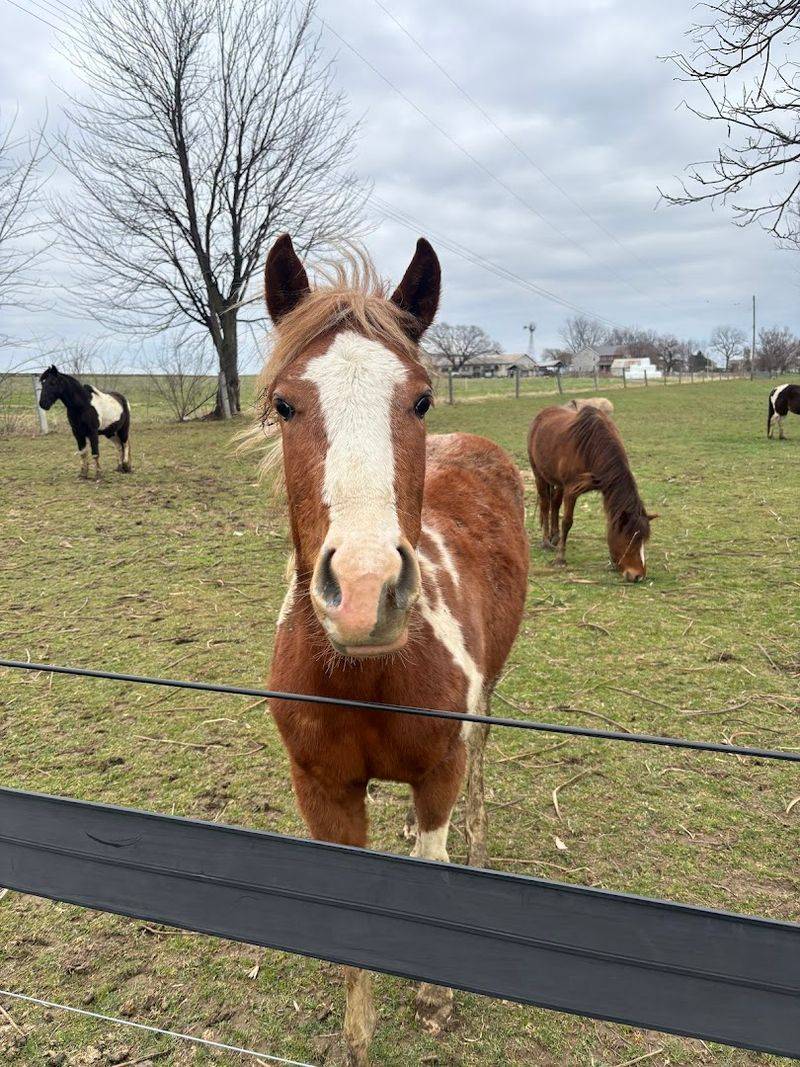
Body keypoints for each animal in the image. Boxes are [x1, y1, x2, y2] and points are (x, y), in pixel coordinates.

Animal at [257, 234, 529, 1065]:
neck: (368, 675)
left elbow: (430, 868)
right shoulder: (321, 789)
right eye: (285, 403)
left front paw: (435, 998)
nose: (366, 586)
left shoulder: (439, 769)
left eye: (421, 399)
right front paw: (356, 1036)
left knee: (481, 762)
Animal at [528, 405, 653, 581]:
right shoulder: (571, 490)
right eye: (630, 539)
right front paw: (560, 559)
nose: (638, 576)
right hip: (539, 474)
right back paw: (546, 541)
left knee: (555, 503)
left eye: (643, 540)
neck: (591, 447)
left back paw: (555, 536)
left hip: (558, 483)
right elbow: (567, 522)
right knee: (546, 504)